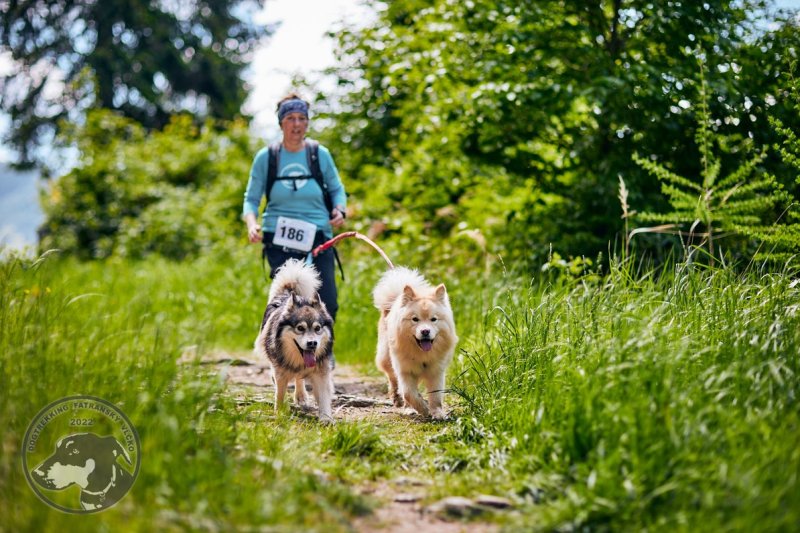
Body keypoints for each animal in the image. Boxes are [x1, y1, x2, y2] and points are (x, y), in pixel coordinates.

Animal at [255, 256, 332, 422]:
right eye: (300, 328)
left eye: (317, 328)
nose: (312, 343)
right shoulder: (280, 372)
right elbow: (279, 393)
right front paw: (279, 413)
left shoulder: (321, 371)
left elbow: (323, 396)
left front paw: (326, 418)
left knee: (299, 378)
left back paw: (301, 396)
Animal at [374, 268, 456, 418]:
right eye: (415, 319)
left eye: (433, 319)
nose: (425, 331)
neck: (421, 354)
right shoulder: (405, 370)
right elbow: (409, 394)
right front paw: (423, 409)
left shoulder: (436, 371)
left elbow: (436, 395)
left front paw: (437, 413)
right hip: (386, 357)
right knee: (393, 381)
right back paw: (403, 404)